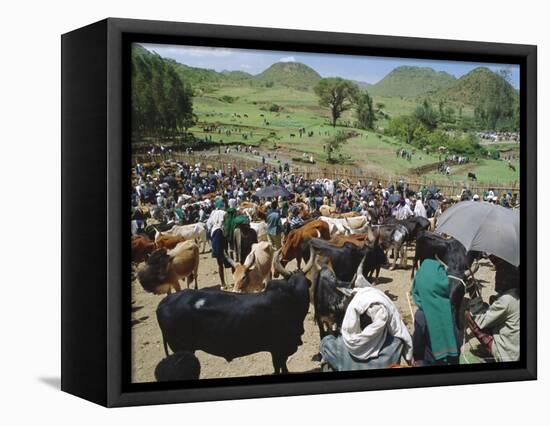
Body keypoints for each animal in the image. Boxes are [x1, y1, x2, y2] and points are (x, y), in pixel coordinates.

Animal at [157, 251, 316, 374]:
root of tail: (164, 302)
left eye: (305, 283)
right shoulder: (278, 349)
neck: (292, 298)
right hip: (182, 349)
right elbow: (280, 368)